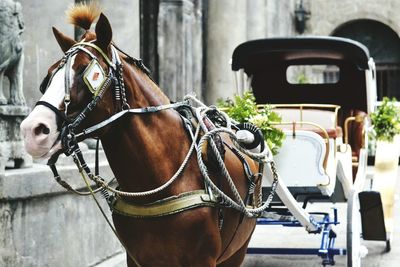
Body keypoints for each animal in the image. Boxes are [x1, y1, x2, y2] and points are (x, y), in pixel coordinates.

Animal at [19, 3, 266, 266]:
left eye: (88, 72)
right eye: (48, 76)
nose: (32, 129)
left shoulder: (203, 259)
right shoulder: (136, 257)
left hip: (237, 250)